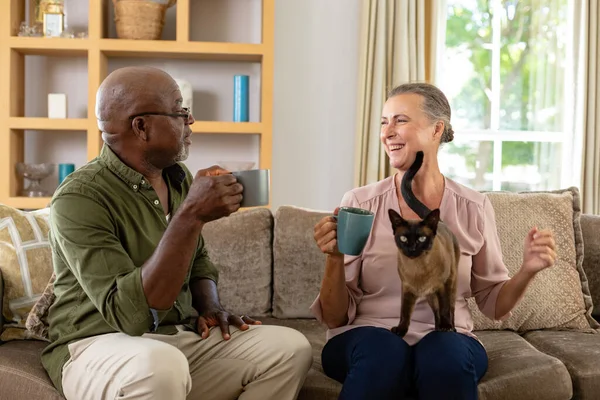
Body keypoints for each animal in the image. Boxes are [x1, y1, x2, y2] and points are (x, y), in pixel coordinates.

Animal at [390, 151, 460, 338]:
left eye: (421, 239)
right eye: (404, 239)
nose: (412, 248)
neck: (418, 269)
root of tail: (439, 221)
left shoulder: (443, 286)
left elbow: (445, 310)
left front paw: (446, 327)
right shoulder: (407, 290)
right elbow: (405, 313)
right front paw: (400, 331)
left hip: (450, 284)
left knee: (450, 309)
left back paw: (449, 328)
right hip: (430, 295)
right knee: (436, 311)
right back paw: (437, 329)